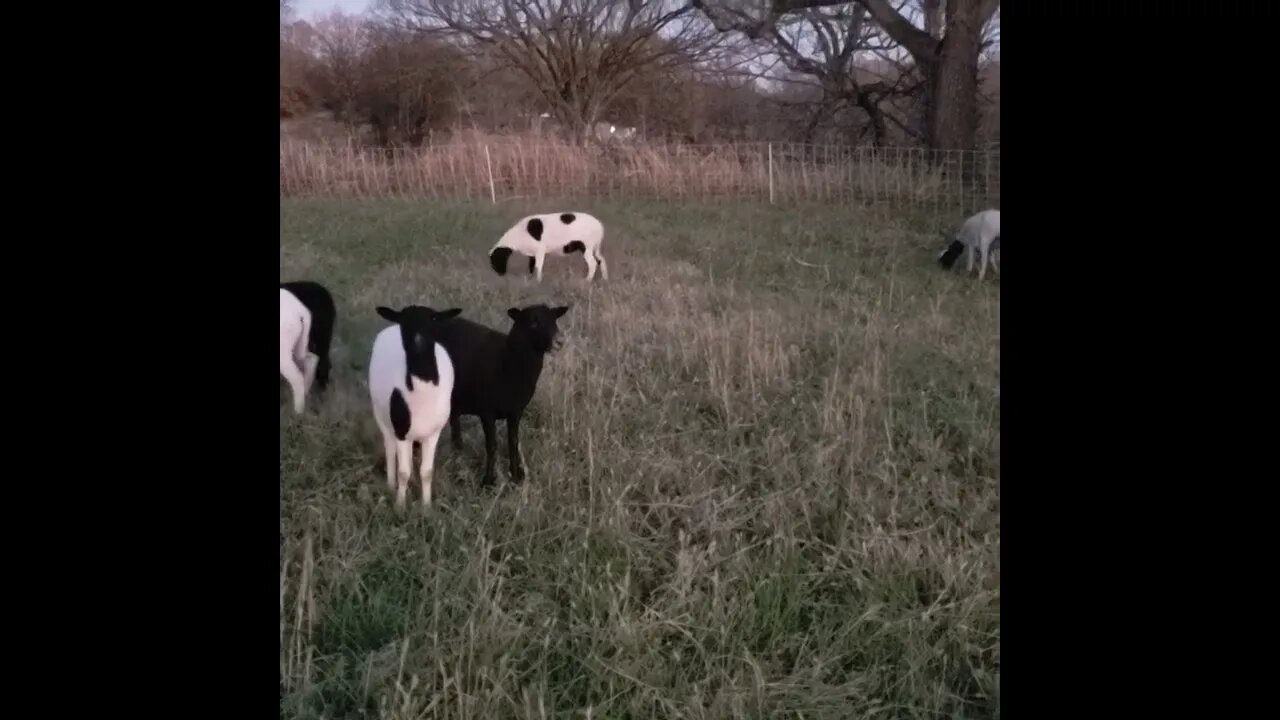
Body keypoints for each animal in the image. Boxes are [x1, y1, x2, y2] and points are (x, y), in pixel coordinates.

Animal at [368, 302, 463, 509]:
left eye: (433, 319)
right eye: (405, 323)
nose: (418, 344)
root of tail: (390, 328)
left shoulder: (433, 433)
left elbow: (426, 471)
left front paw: (426, 506)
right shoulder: (401, 431)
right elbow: (404, 471)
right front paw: (400, 505)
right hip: (382, 416)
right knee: (390, 450)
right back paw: (391, 484)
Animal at [435, 299, 570, 484]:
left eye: (555, 319)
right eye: (533, 322)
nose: (559, 341)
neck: (507, 361)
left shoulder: (515, 412)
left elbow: (512, 443)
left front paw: (515, 476)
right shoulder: (487, 412)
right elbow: (492, 446)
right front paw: (488, 481)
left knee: (454, 420)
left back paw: (458, 451)